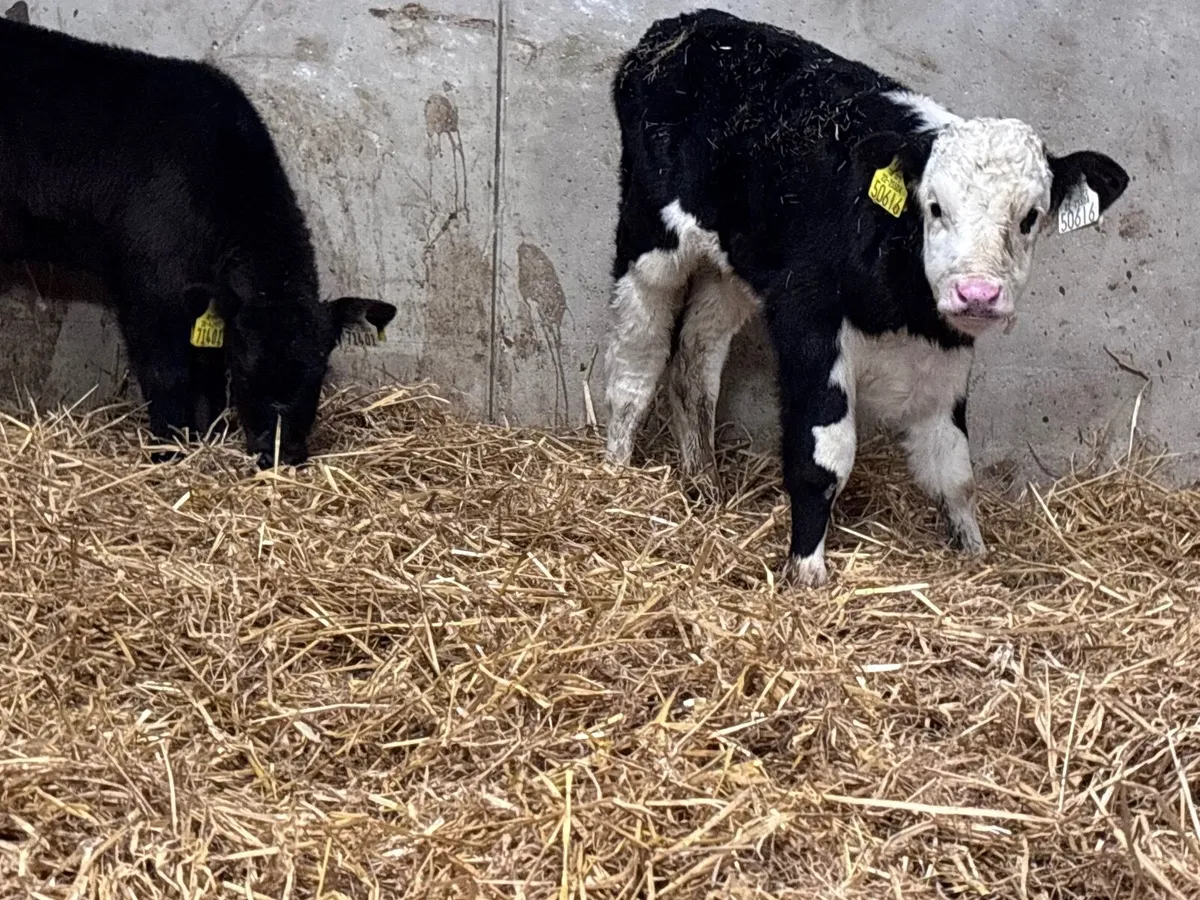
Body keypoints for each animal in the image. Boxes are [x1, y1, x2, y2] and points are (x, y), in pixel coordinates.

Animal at [0, 18, 396, 468]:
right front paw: (169, 449)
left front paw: (209, 432)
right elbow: (167, 373)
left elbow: (206, 369)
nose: (280, 453)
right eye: (245, 369)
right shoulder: (149, 290)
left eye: (320, 371)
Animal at [603, 9, 1130, 587]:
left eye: (1030, 217)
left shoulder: (945, 354)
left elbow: (954, 469)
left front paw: (974, 555)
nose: (978, 293)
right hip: (647, 236)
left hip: (733, 267)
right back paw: (614, 475)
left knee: (695, 360)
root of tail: (684, 25)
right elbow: (825, 458)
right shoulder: (809, 320)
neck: (903, 307)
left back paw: (704, 484)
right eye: (934, 206)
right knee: (637, 362)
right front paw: (807, 572)